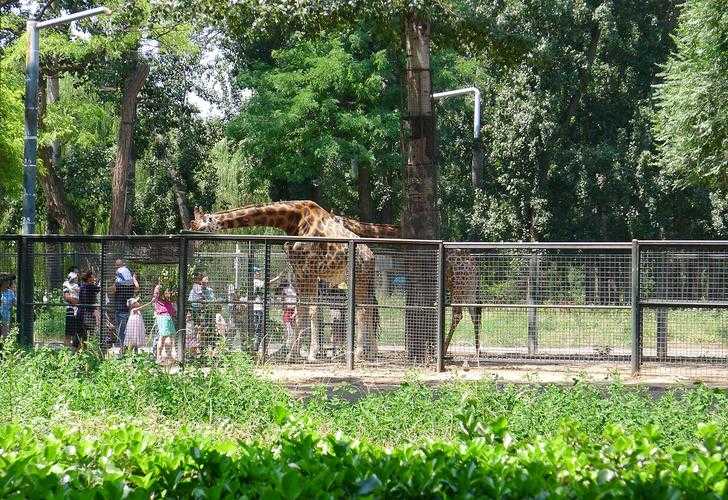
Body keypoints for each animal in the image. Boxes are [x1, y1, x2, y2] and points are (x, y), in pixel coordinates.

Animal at [189, 201, 376, 362]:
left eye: (200, 228)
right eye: (192, 225)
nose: (194, 246)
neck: (293, 221)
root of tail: (371, 256)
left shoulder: (309, 271)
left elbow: (312, 310)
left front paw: (311, 354)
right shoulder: (299, 272)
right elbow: (300, 312)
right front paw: (292, 355)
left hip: (359, 277)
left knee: (362, 309)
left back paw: (358, 353)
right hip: (361, 280)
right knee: (369, 308)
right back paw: (367, 353)